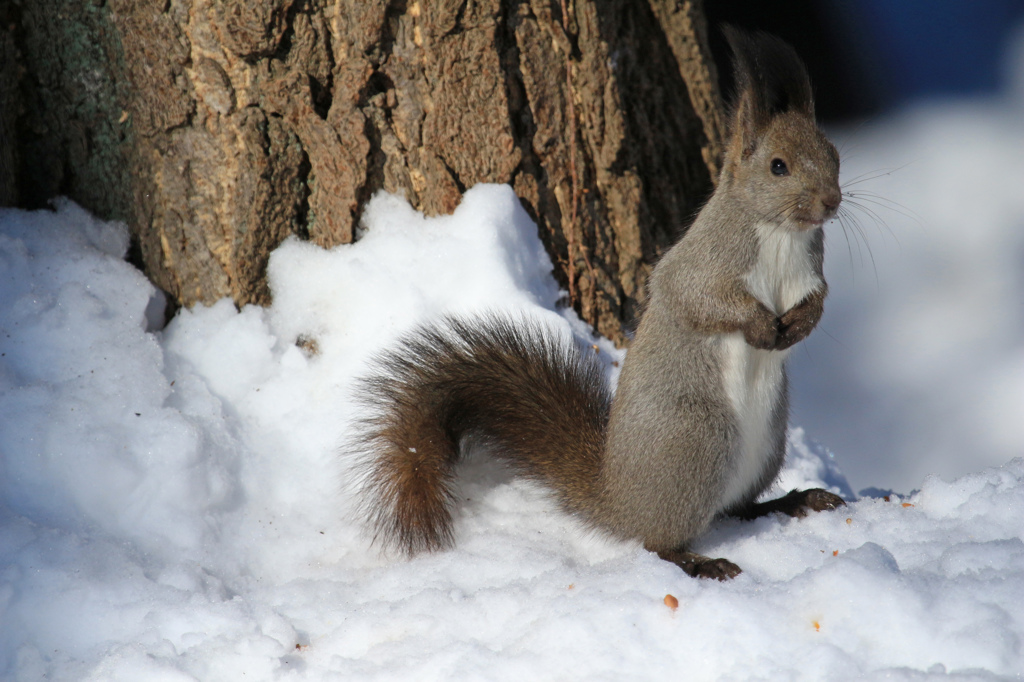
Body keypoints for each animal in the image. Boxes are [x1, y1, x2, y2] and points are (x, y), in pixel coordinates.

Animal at [352, 27, 847, 577]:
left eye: (834, 156)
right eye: (778, 166)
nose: (831, 201)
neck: (781, 234)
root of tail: (616, 497)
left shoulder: (811, 270)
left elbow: (819, 301)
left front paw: (799, 325)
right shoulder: (701, 263)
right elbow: (698, 300)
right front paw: (761, 326)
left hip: (765, 445)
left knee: (738, 508)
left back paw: (796, 500)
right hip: (699, 440)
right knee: (659, 540)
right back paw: (701, 561)